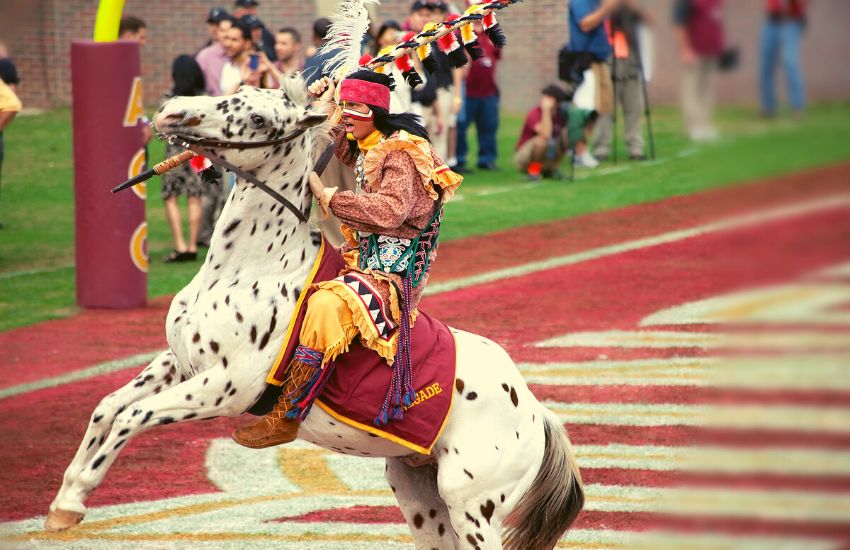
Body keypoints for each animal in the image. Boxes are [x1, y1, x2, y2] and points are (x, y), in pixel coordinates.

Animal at [43, 78, 580, 550]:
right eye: (235, 91)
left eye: (259, 118)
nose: (173, 111)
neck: (247, 269)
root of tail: (536, 412)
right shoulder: (179, 361)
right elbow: (108, 407)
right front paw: (66, 499)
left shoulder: (225, 387)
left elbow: (134, 414)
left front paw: (75, 499)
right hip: (418, 492)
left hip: (472, 507)